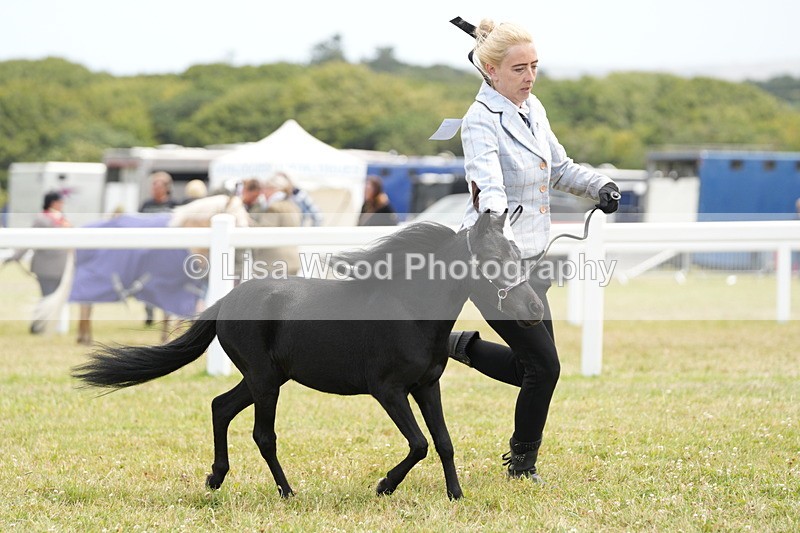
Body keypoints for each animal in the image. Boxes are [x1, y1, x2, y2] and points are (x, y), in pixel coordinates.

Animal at [72, 211, 544, 500]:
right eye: (493, 259)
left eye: (517, 255)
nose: (535, 309)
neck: (410, 311)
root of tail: (227, 301)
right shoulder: (388, 390)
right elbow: (419, 443)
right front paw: (384, 486)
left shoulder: (427, 385)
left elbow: (443, 442)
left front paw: (456, 496)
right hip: (264, 380)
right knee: (262, 434)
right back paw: (286, 492)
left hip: (265, 378)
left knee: (220, 406)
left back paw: (215, 478)